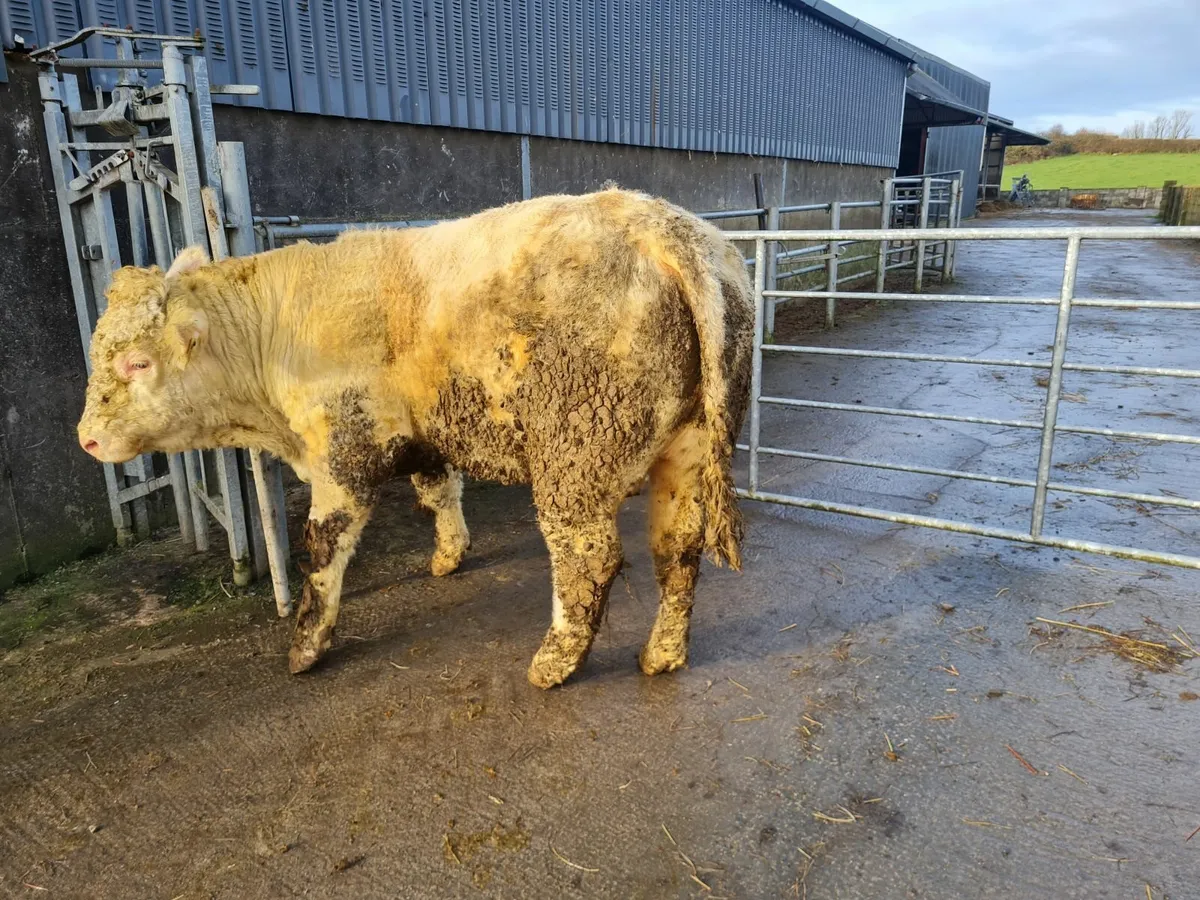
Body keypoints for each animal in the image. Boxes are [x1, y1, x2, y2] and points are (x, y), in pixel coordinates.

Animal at [77, 188, 754, 688]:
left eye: (137, 361)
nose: (85, 441)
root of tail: (656, 223)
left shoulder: (341, 451)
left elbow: (323, 548)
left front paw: (307, 645)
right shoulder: (424, 435)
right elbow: (438, 491)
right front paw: (449, 556)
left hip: (575, 453)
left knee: (588, 555)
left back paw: (553, 664)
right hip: (687, 450)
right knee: (678, 548)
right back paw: (661, 655)